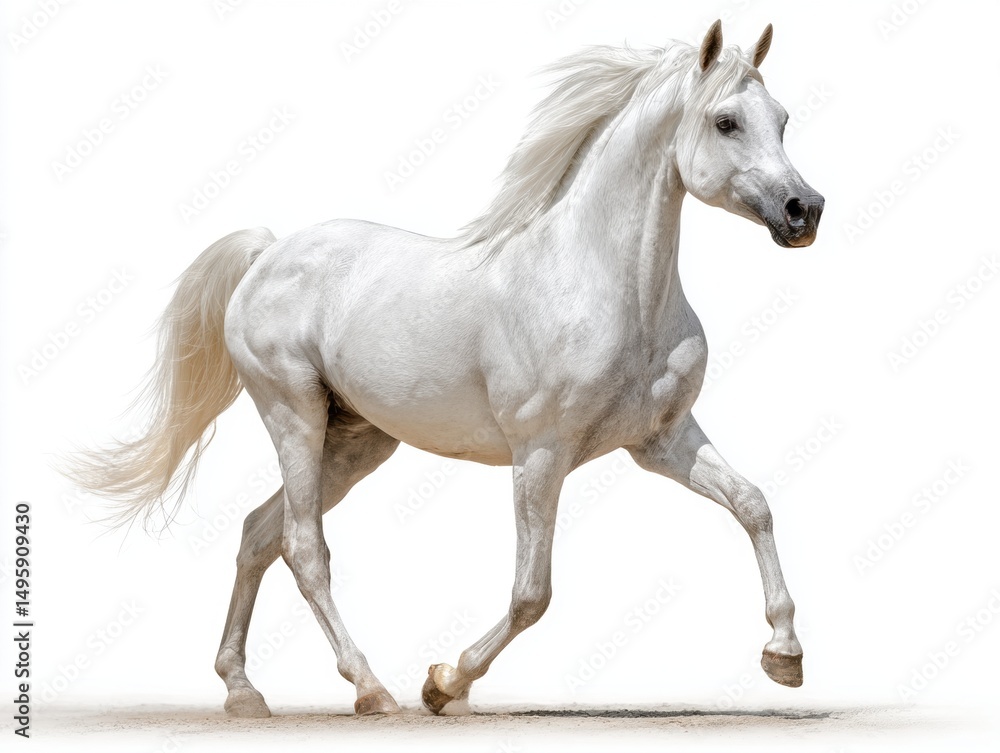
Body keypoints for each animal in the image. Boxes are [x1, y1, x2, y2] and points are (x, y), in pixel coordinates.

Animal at [66, 20, 823, 717]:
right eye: (726, 121)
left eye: (783, 119)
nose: (804, 211)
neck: (602, 288)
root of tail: (268, 252)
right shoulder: (541, 454)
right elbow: (532, 593)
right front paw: (444, 683)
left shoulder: (661, 439)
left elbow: (754, 504)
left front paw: (784, 655)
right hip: (294, 415)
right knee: (303, 547)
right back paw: (372, 690)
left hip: (357, 441)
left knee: (258, 534)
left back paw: (242, 690)